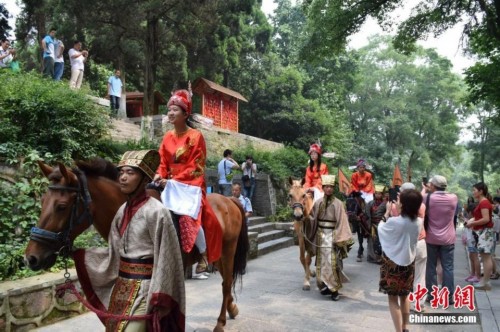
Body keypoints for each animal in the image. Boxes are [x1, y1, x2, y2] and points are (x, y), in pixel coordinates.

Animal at [25, 159, 248, 332]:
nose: (31, 258)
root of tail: (230, 200)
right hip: (218, 254)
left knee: (227, 283)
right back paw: (232, 309)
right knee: (225, 282)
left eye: (61, 206)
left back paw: (220, 322)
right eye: (42, 201)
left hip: (228, 250)